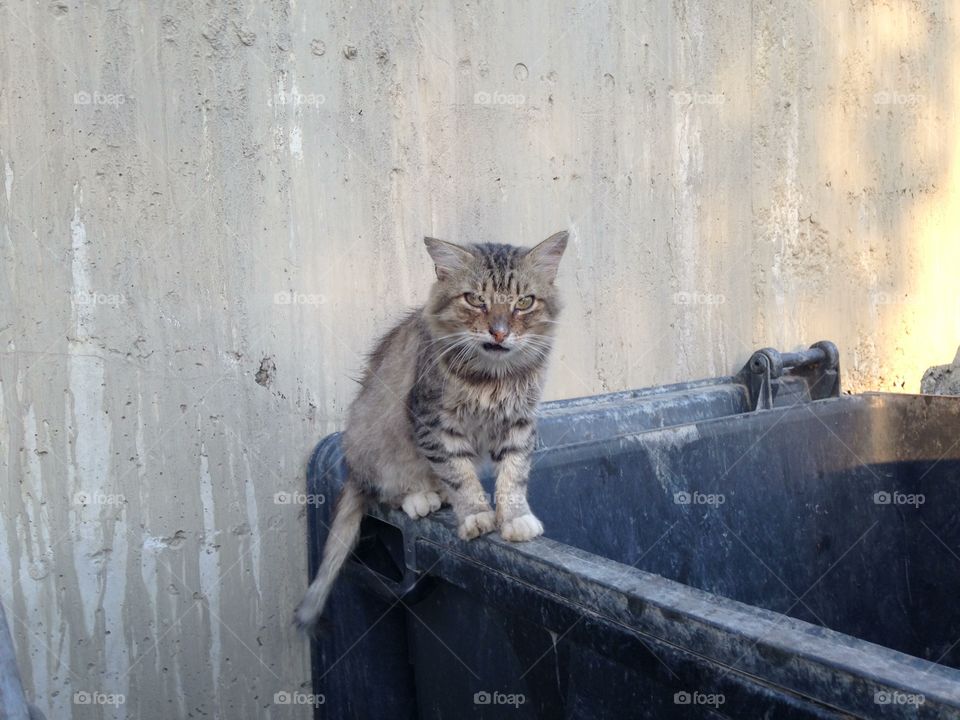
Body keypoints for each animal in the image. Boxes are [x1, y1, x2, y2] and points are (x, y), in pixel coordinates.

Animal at [296, 231, 568, 632]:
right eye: (475, 299)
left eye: (524, 302)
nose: (499, 332)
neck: (492, 377)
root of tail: (352, 469)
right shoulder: (432, 422)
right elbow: (460, 474)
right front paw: (475, 515)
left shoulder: (518, 423)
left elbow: (513, 474)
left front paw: (514, 517)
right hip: (375, 447)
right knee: (385, 493)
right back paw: (420, 497)